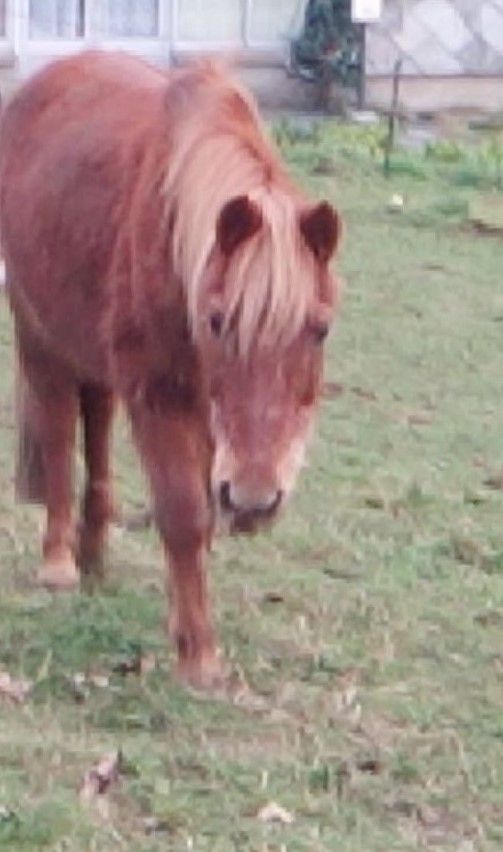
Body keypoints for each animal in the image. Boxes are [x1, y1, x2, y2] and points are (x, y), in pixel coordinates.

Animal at [0, 51, 342, 690]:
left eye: (321, 328)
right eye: (217, 321)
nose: (255, 502)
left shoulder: (205, 415)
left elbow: (202, 514)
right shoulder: (161, 395)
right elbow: (184, 512)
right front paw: (199, 656)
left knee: (96, 427)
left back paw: (94, 556)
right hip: (40, 335)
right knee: (57, 429)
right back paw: (59, 561)